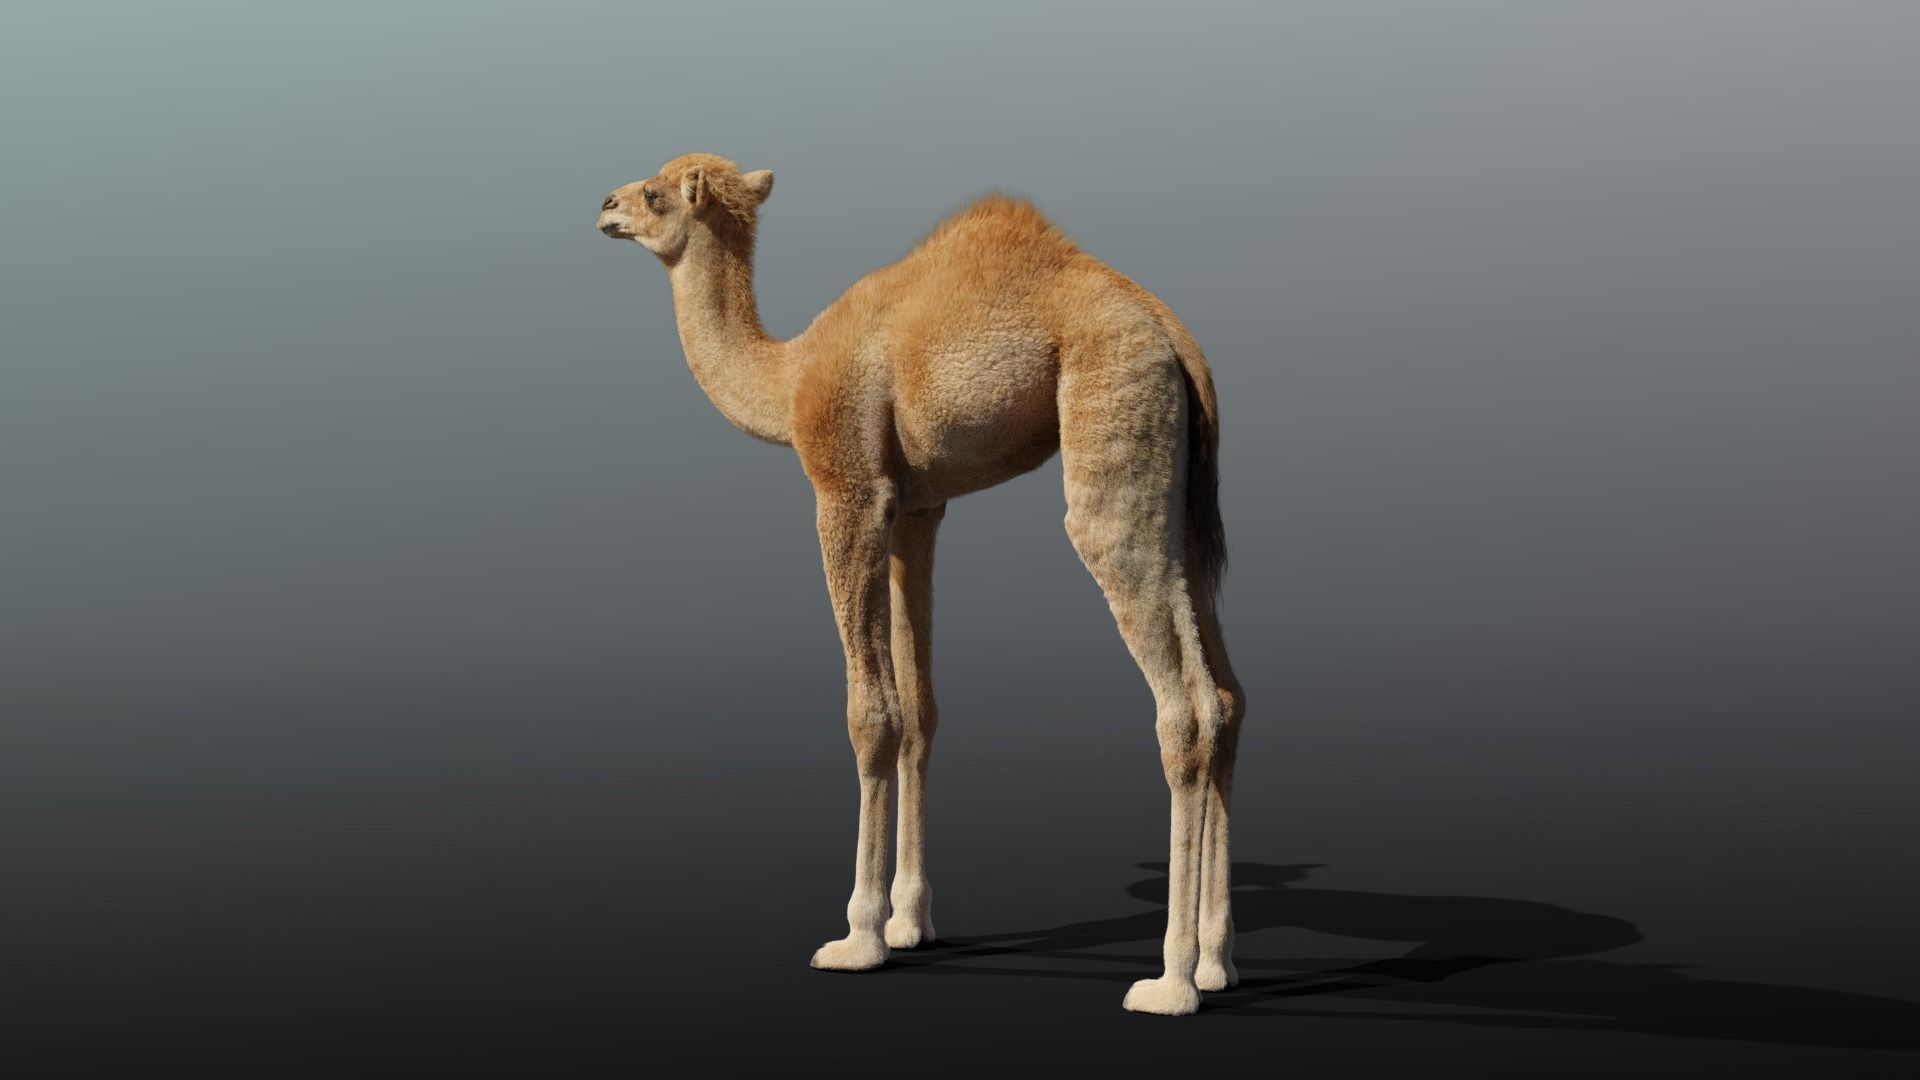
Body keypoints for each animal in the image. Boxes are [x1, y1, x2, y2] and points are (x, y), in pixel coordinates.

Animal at [596, 153, 1245, 1015]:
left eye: (655, 194)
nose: (604, 205)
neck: (788, 375)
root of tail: (1174, 334)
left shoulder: (848, 488)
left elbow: (872, 714)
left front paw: (856, 937)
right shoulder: (915, 509)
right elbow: (921, 710)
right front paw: (909, 922)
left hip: (1111, 424)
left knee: (1182, 704)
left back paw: (1169, 981)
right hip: (1180, 499)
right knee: (1226, 695)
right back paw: (1216, 964)